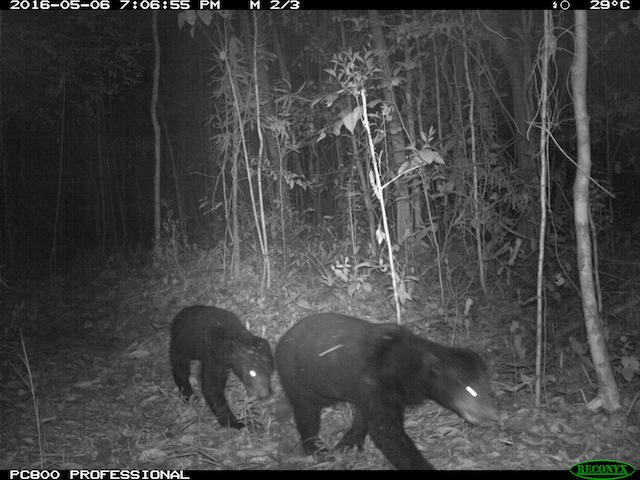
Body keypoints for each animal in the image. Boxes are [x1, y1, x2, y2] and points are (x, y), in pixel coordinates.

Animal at [272, 314, 498, 470]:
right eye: (470, 390)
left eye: (487, 388)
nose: (493, 415)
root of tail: (282, 339)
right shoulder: (376, 386)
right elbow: (386, 432)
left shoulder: (370, 392)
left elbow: (364, 420)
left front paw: (349, 444)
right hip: (296, 378)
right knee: (306, 413)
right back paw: (315, 448)